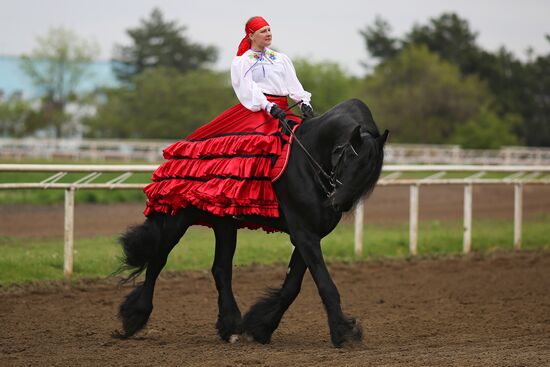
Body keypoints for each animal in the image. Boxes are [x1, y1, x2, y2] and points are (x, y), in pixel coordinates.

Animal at [116, 98, 388, 348]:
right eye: (349, 157)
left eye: (371, 169)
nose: (337, 203)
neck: (309, 158)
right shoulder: (304, 233)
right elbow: (325, 284)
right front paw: (344, 332)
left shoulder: (309, 234)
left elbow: (292, 286)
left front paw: (261, 327)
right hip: (177, 217)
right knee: (157, 260)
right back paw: (134, 318)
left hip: (224, 224)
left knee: (220, 269)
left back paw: (230, 327)